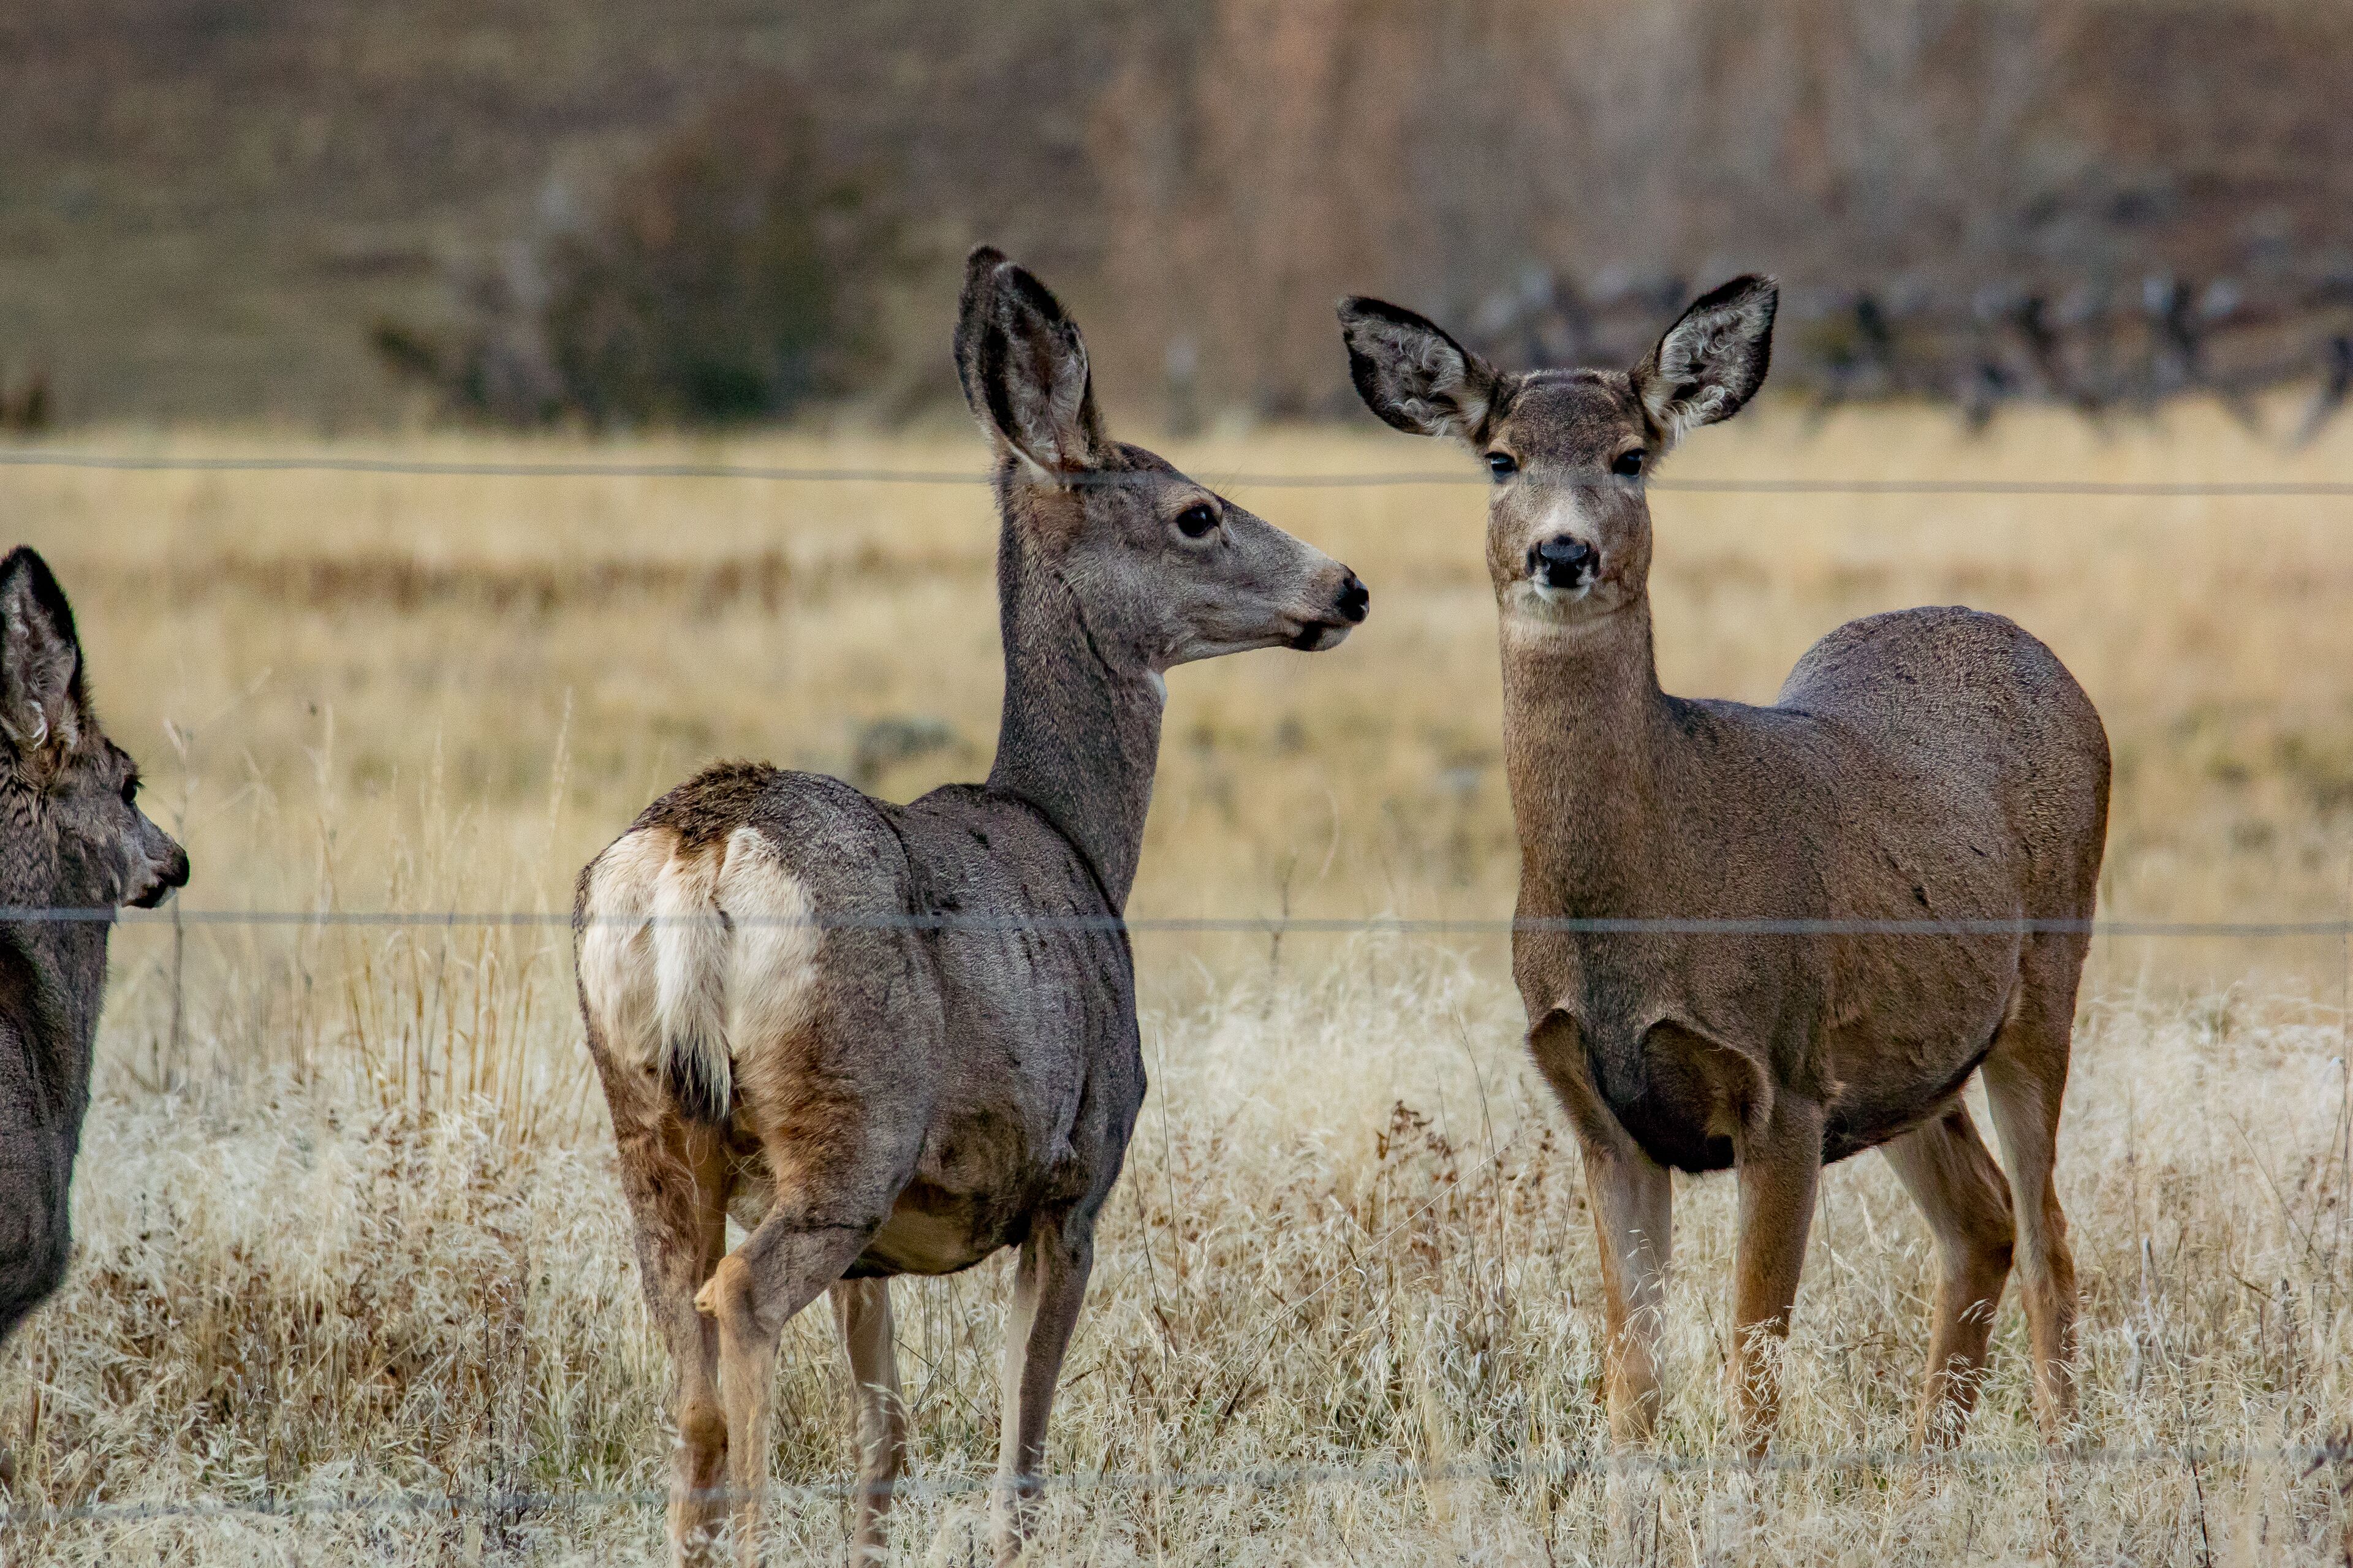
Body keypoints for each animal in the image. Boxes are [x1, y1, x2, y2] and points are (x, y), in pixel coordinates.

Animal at [575, 248, 1370, 1567]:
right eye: (1197, 512)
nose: (1348, 586)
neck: (1079, 841)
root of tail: (701, 847)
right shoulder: (1075, 1179)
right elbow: (1022, 1452)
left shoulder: (882, 1256)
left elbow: (884, 1447)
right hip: (854, 1118)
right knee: (740, 1301)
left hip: (649, 1117)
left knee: (683, 1358)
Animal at [1336, 278, 2109, 1454]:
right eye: (1502, 459)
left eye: (1631, 456)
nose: (1562, 553)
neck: (1636, 901)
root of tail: (2048, 662)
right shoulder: (1599, 1110)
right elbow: (1633, 1384)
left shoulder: (1782, 1083)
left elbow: (1752, 1378)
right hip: (1903, 1062)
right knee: (1984, 1218)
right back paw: (1926, 1467)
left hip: (2044, 986)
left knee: (2052, 1236)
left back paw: (2061, 1465)